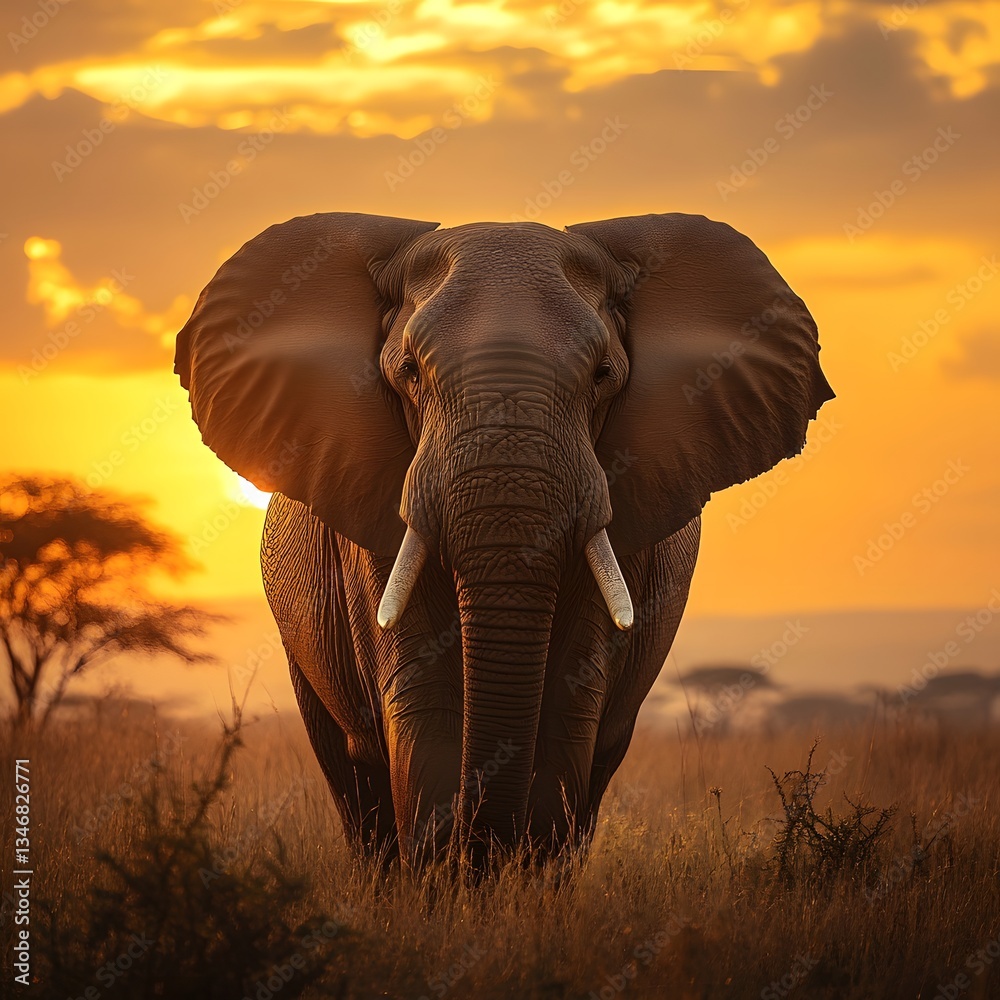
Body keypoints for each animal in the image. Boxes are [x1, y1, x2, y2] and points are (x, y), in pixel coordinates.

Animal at [175, 210, 833, 870]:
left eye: (602, 376)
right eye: (410, 373)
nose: (484, 855)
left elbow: (569, 707)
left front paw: (519, 883)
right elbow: (425, 705)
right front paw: (448, 885)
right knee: (350, 771)